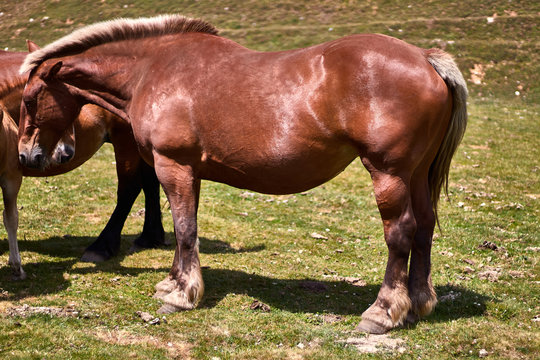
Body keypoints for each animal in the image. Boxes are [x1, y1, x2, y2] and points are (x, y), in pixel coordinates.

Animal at [0, 47, 166, 278]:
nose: (65, 154)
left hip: (126, 142)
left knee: (130, 189)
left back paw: (102, 246)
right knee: (150, 182)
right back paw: (149, 237)